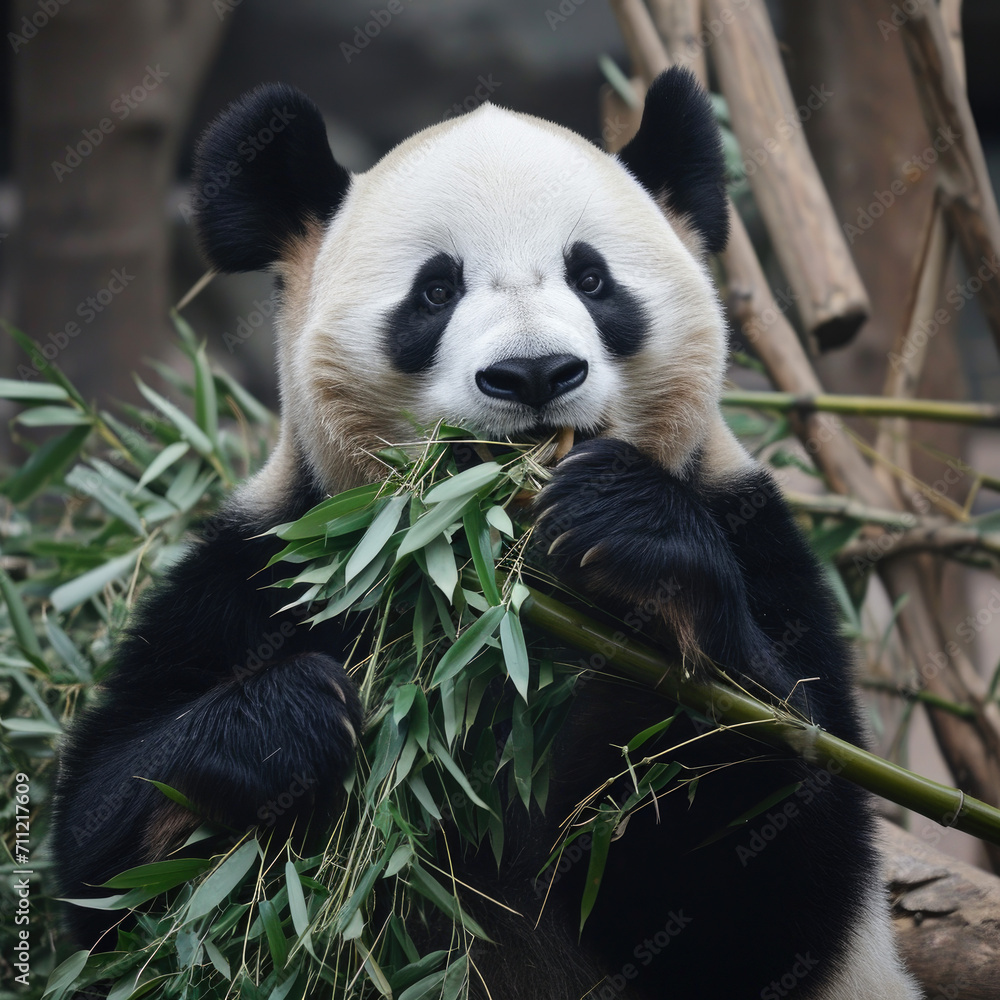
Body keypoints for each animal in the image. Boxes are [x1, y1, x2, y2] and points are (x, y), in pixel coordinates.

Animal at [51, 70, 922, 999]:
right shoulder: (266, 570)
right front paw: (286, 721)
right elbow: (112, 878)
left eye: (592, 278)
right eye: (436, 291)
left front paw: (629, 534)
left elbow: (773, 880)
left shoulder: (755, 536)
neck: (497, 590)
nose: (534, 373)